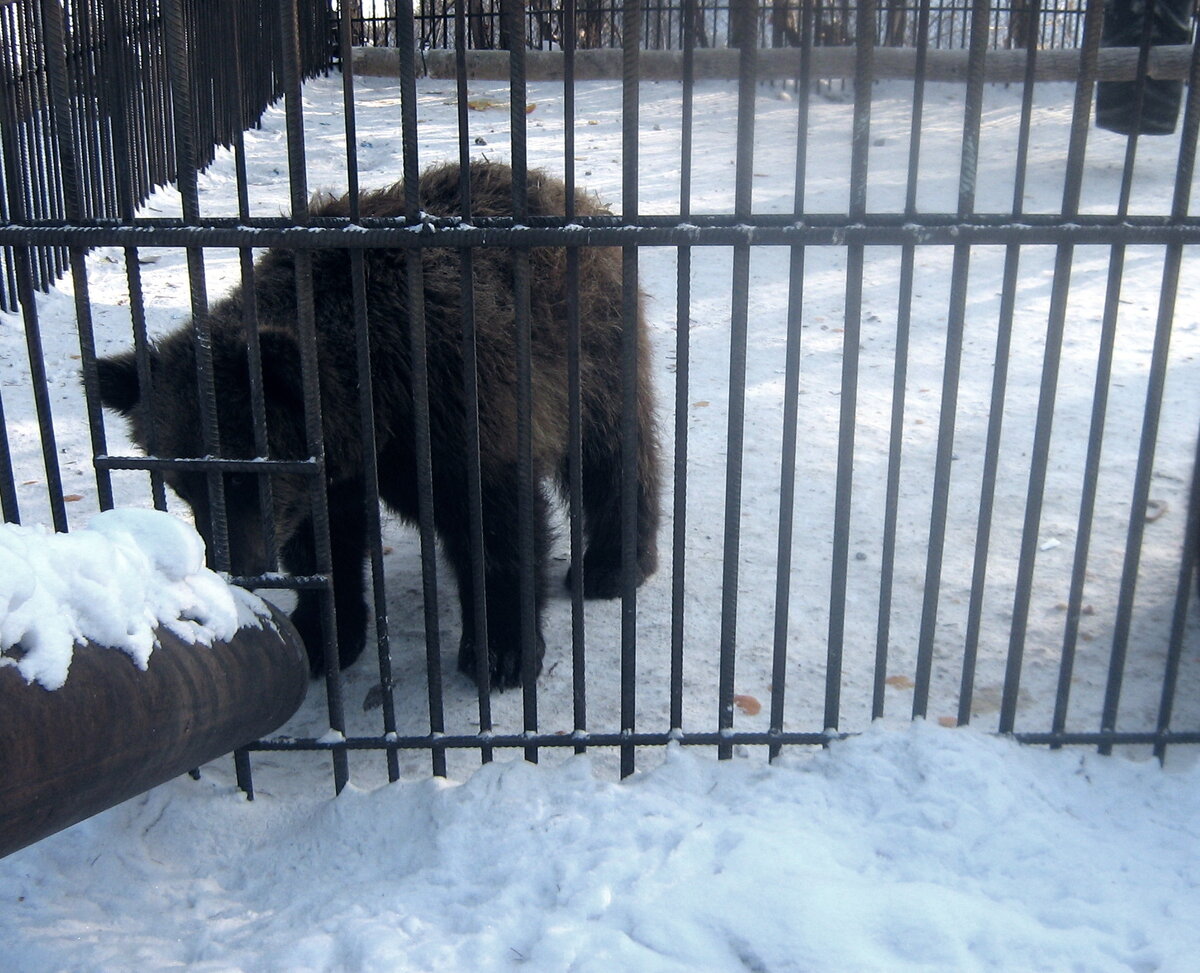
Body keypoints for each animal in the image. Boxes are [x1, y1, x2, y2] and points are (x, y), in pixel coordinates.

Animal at [100, 159, 667, 691]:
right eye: (181, 483)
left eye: (241, 476)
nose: (229, 566)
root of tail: (557, 187)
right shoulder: (334, 473)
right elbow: (323, 542)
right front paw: (324, 632)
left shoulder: (456, 401)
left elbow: (494, 525)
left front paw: (500, 649)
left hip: (589, 350)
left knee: (612, 454)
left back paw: (612, 563)